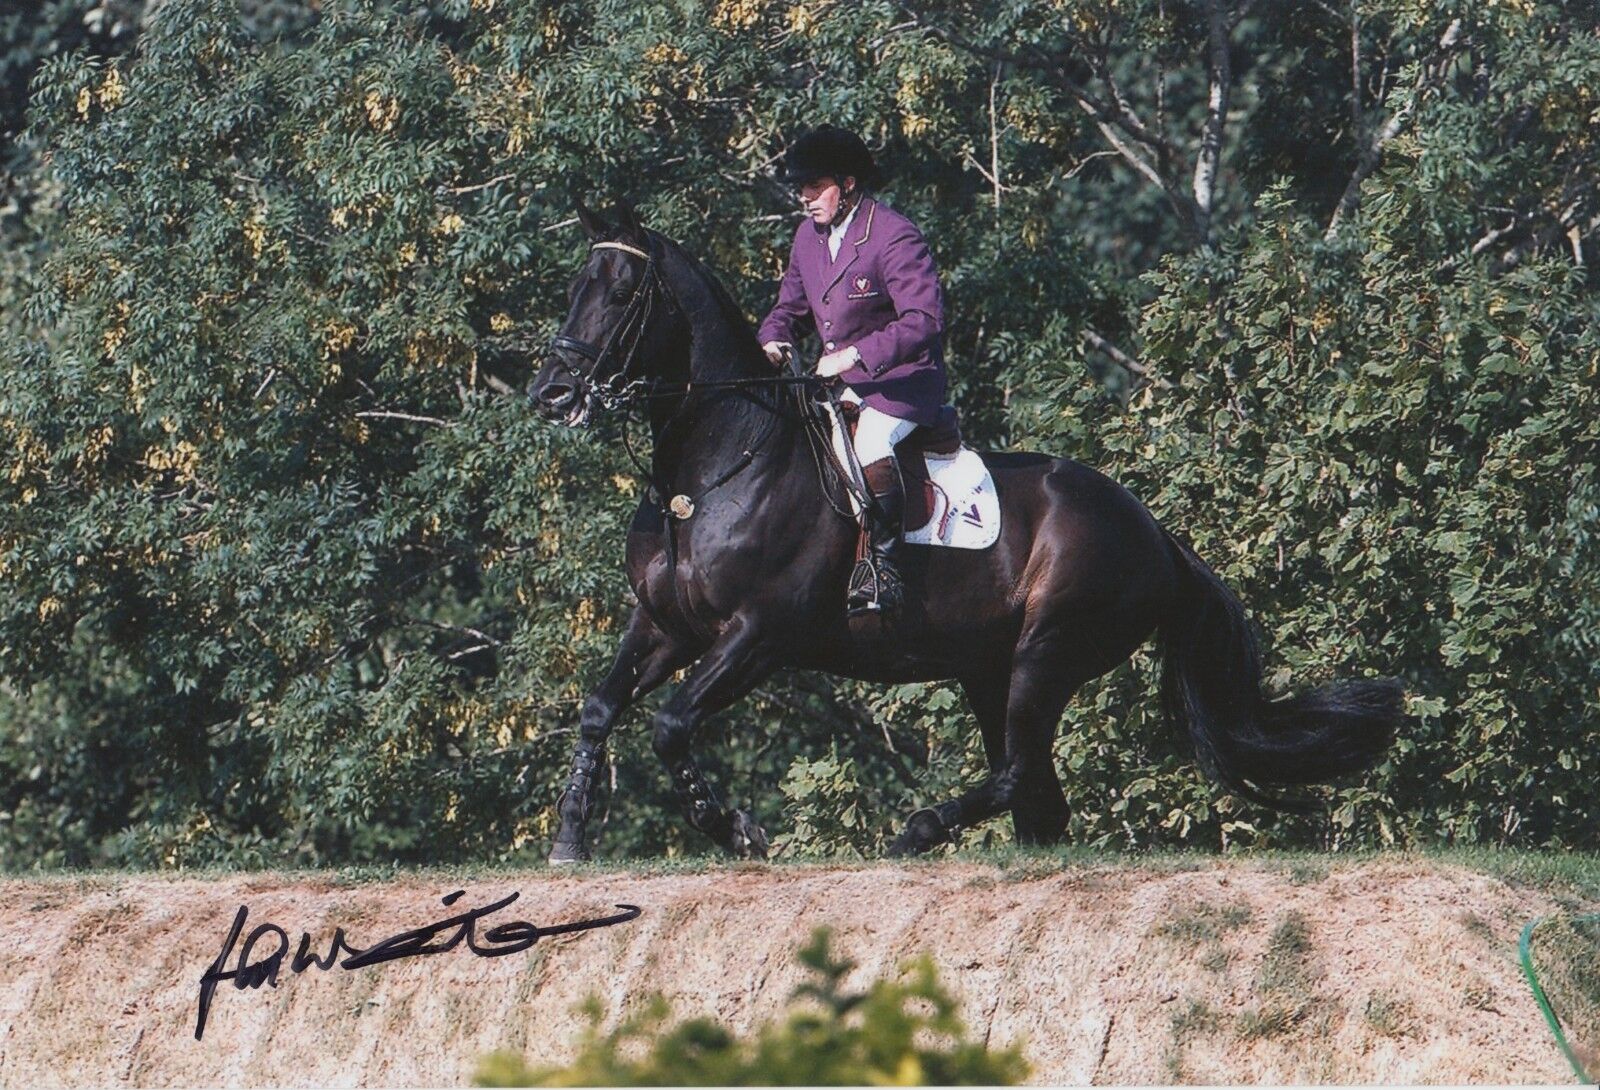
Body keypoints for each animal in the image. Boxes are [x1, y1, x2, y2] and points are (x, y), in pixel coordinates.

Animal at [528, 197, 1401, 857]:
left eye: (619, 292)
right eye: (574, 285)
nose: (551, 393)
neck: (713, 472)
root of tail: (1156, 533)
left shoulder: (759, 633)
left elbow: (671, 725)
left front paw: (736, 830)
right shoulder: (667, 624)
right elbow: (601, 708)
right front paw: (571, 835)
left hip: (1048, 652)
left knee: (1018, 771)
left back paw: (916, 831)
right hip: (990, 667)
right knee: (1038, 796)